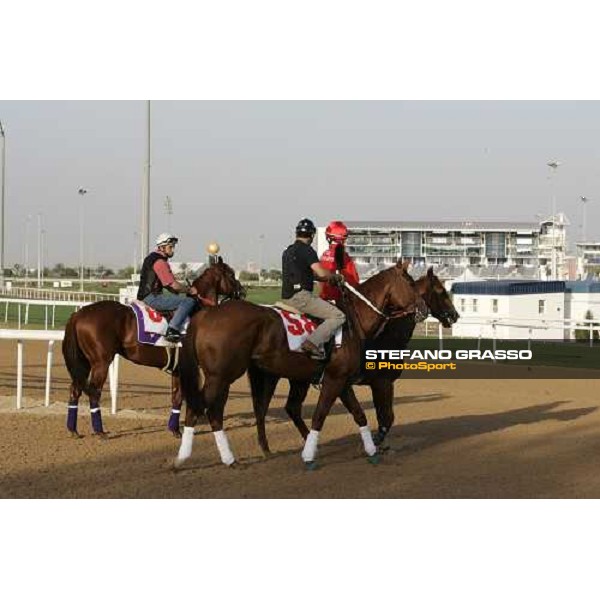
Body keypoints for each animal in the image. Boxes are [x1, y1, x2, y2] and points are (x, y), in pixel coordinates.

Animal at [59, 260, 240, 438]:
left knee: (75, 389)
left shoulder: (177, 369)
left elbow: (176, 398)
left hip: (84, 362)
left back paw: (73, 430)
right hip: (101, 362)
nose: (242, 291)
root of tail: (79, 314)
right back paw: (99, 431)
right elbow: (184, 397)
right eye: (231, 274)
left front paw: (174, 429)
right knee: (94, 392)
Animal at [171, 260, 420, 472]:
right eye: (410, 282)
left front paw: (371, 451)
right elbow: (320, 415)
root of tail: (205, 315)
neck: (352, 319)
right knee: (200, 409)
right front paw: (309, 456)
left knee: (222, 410)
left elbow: (359, 415)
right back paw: (191, 458)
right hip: (221, 376)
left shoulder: (343, 381)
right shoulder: (336, 380)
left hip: (238, 376)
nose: (423, 308)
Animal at [246, 268, 462, 454]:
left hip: (294, 377)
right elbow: (387, 417)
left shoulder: (364, 383)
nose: (455, 315)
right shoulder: (380, 382)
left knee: (284, 408)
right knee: (267, 408)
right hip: (274, 376)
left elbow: (380, 415)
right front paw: (376, 442)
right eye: (442, 291)